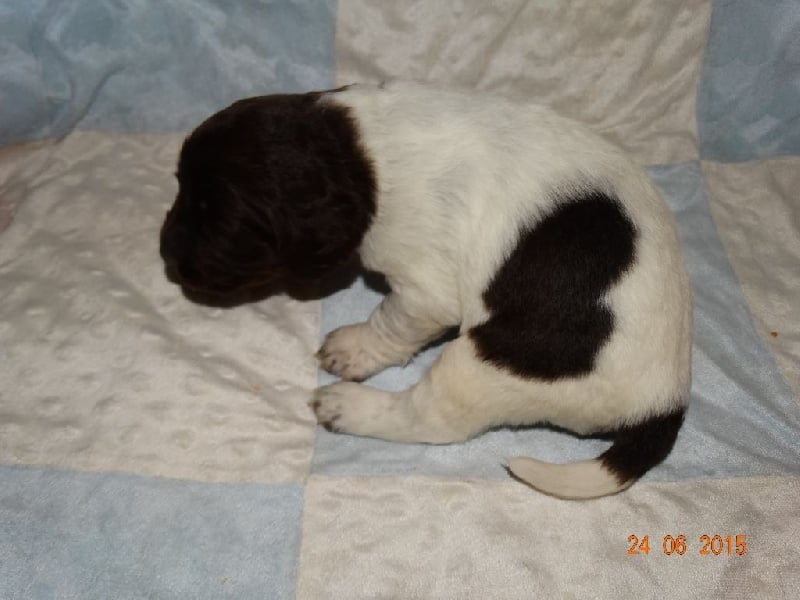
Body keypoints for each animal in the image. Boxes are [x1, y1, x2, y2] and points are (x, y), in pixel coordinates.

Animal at [160, 82, 692, 499]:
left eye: (218, 220)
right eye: (181, 186)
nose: (164, 252)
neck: (362, 151)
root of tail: (665, 404)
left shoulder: (423, 291)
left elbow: (388, 324)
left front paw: (353, 350)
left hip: (484, 365)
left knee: (426, 418)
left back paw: (347, 406)